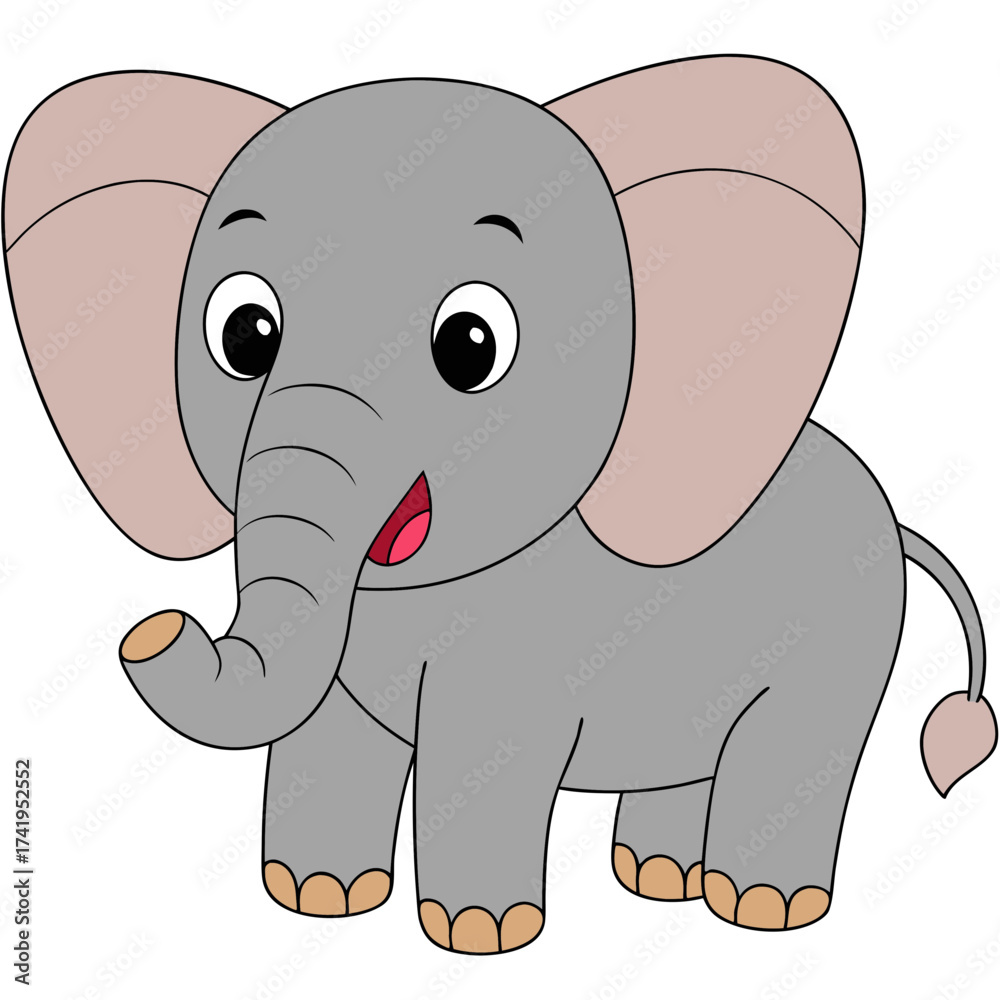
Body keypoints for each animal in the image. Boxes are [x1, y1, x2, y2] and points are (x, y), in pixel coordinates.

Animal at [5, 55, 997, 955]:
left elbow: (483, 754)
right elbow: (330, 736)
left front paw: (478, 936)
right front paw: (319, 899)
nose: (152, 631)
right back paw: (659, 880)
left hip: (846, 636)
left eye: (471, 345)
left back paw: (762, 909)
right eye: (243, 335)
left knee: (792, 749)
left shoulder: (521, 651)